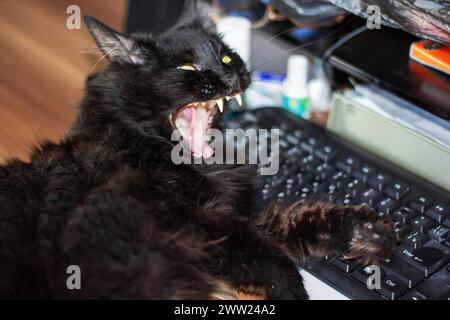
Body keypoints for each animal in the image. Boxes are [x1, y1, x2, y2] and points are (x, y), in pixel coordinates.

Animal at [0, 4, 396, 300]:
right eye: (188, 67)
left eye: (226, 57)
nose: (231, 76)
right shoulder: (203, 224)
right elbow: (277, 259)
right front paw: (295, 295)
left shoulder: (233, 214)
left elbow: (294, 219)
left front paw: (367, 232)